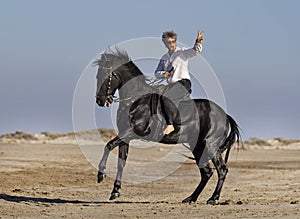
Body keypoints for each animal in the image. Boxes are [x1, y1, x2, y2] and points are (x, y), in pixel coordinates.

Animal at [95, 48, 240, 204]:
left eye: (104, 75)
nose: (100, 100)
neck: (137, 99)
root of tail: (224, 115)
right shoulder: (124, 136)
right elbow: (121, 162)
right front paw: (115, 191)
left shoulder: (132, 132)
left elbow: (108, 145)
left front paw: (101, 175)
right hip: (198, 146)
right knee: (207, 173)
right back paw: (191, 198)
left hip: (210, 146)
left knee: (221, 170)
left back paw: (213, 198)